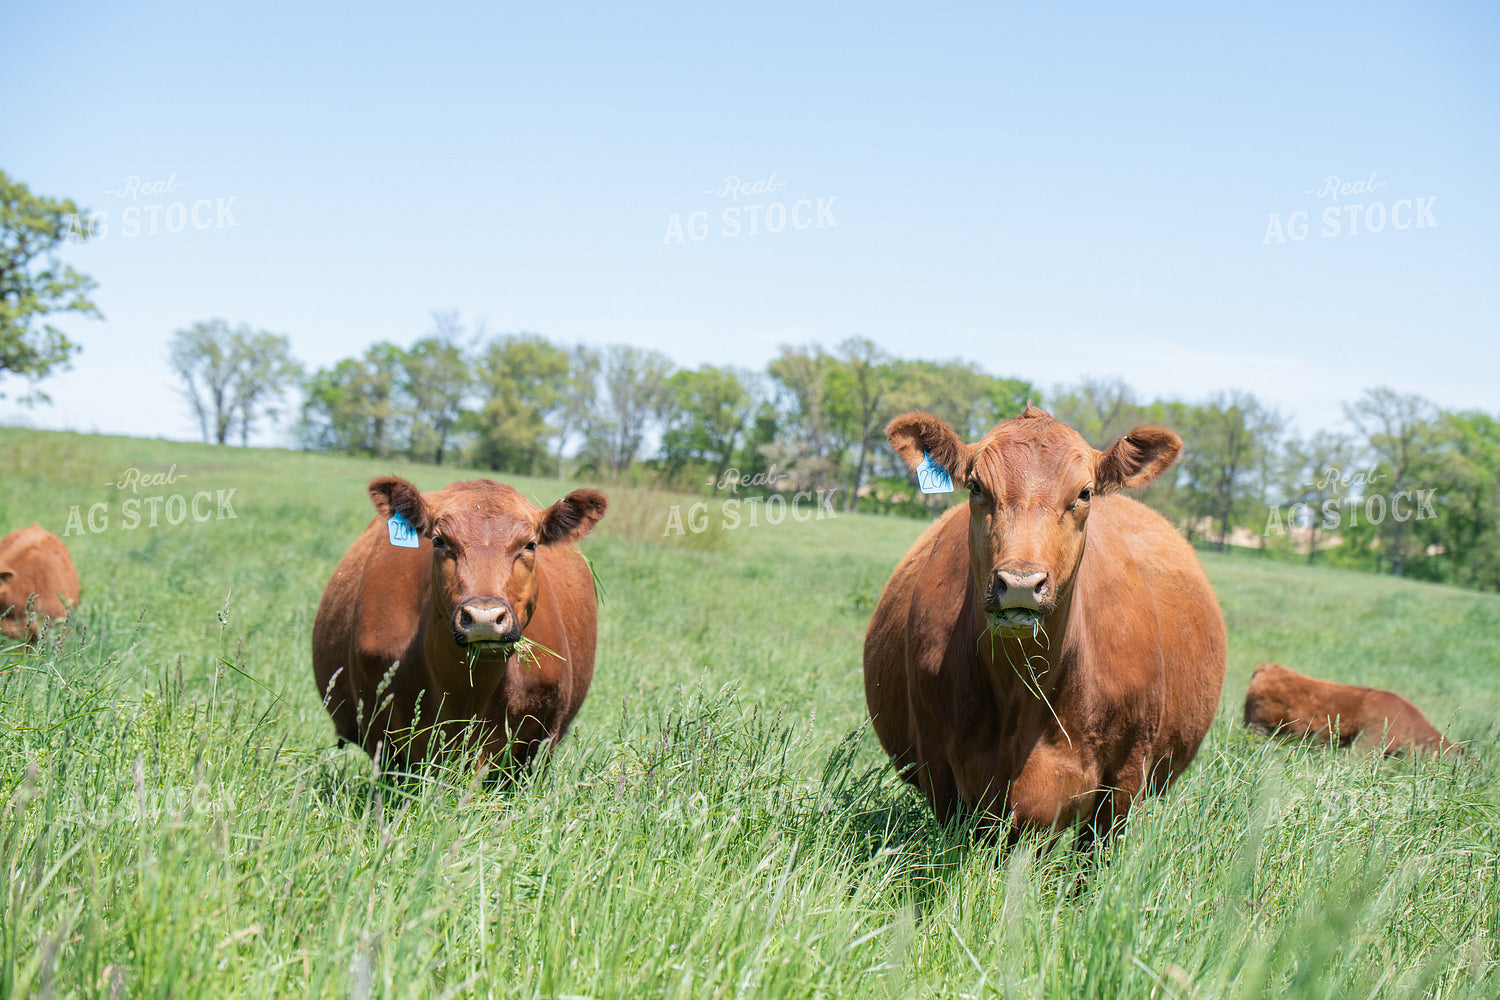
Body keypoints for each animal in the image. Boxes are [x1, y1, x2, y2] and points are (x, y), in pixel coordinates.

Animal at [313, 475, 607, 771]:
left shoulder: (538, 742)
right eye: (439, 540)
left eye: (530, 544)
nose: (484, 618)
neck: (465, 694)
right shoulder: (381, 735)